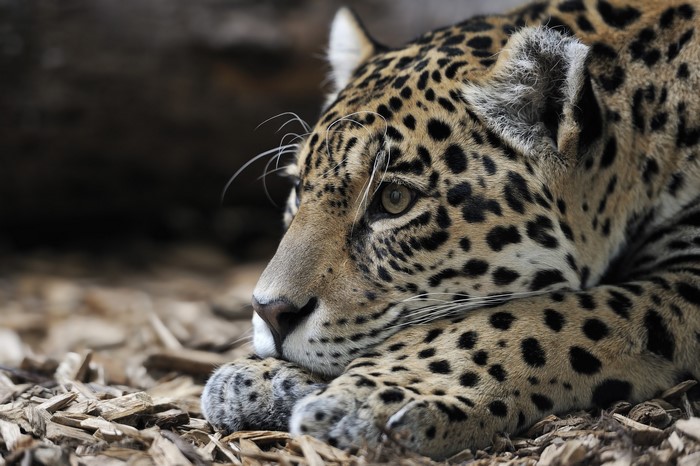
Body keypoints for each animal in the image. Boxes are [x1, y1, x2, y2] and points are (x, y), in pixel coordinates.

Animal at [202, 0, 700, 459]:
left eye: (394, 199)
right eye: (299, 188)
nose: (270, 312)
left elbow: (537, 319)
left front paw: (373, 398)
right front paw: (254, 379)